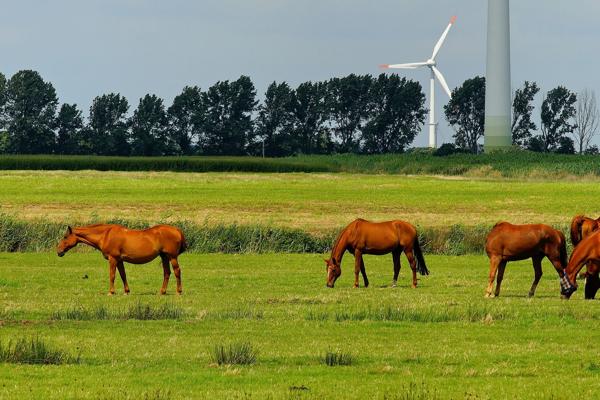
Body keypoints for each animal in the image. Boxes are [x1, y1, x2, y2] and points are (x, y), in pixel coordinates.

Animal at [56, 223, 188, 296]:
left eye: (65, 237)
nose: (58, 251)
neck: (105, 235)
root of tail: (177, 230)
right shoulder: (119, 260)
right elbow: (123, 275)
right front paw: (126, 291)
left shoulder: (113, 259)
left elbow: (112, 275)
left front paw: (111, 292)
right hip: (164, 256)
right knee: (167, 273)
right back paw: (162, 292)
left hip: (172, 257)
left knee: (177, 271)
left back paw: (179, 291)